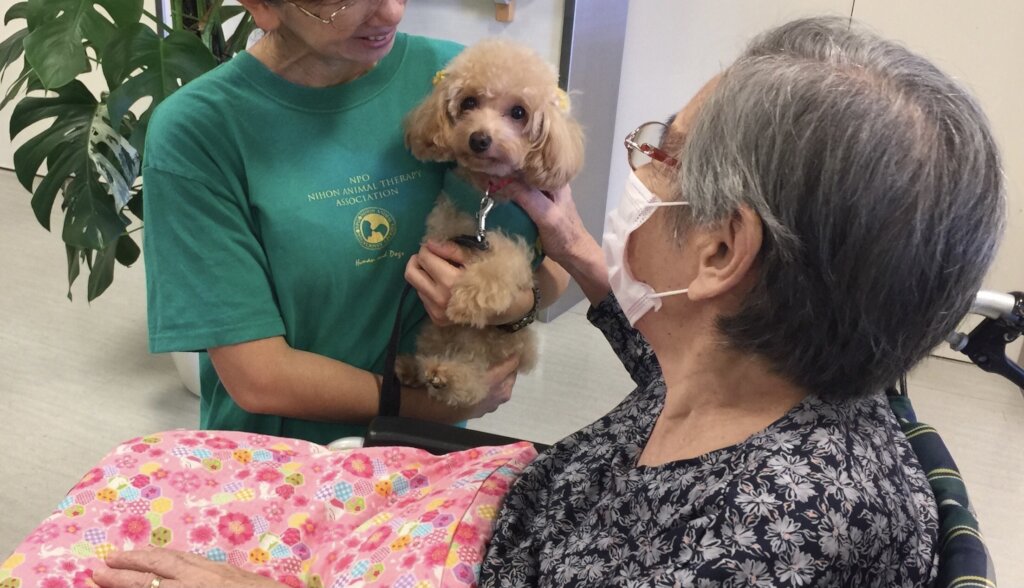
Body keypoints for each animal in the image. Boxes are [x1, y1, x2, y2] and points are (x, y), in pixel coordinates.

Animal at [399, 39, 585, 409]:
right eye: (469, 102)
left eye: (519, 112)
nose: (479, 139)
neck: (489, 194)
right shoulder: (446, 226)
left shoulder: (523, 247)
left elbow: (503, 263)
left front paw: (468, 296)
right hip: (435, 331)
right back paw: (415, 369)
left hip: (501, 345)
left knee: (475, 380)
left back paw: (447, 377)